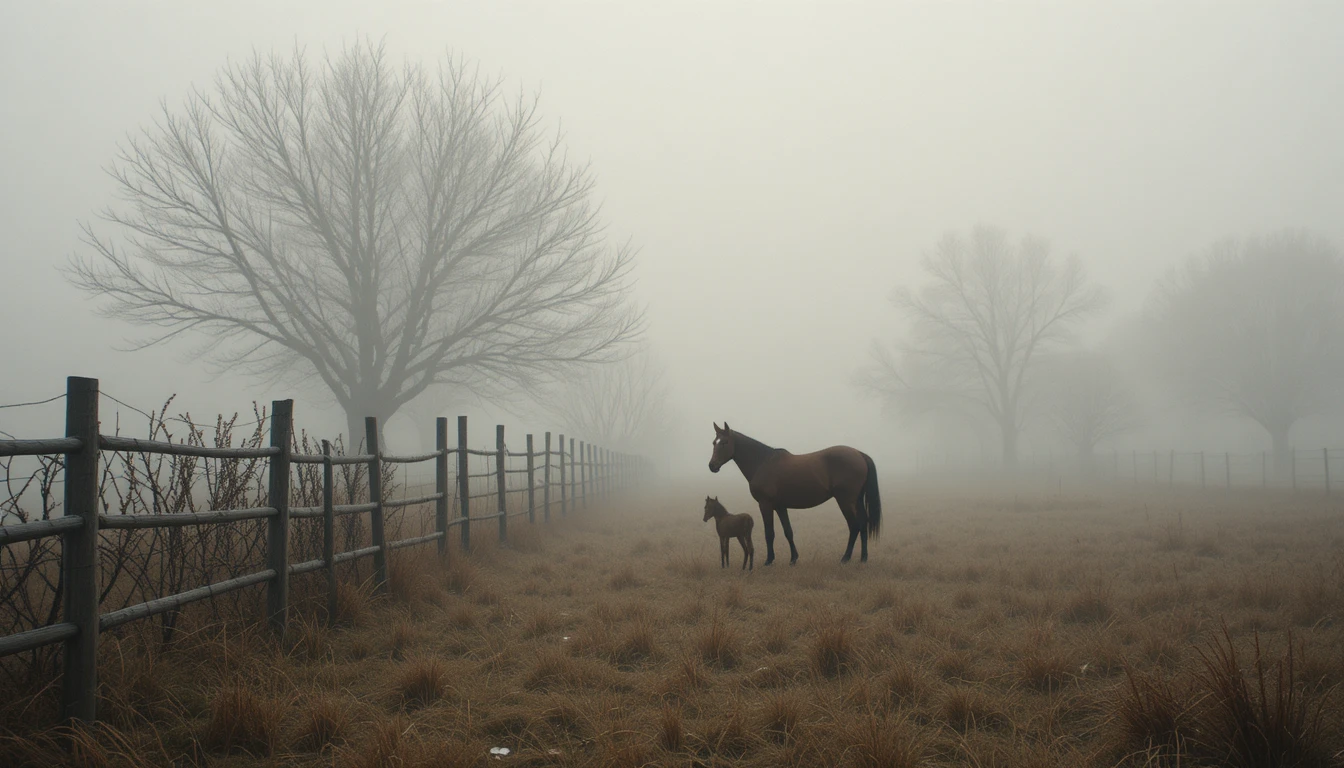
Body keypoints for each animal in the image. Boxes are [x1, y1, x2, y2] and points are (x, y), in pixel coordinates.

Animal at [708, 422, 881, 565]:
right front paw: (793, 558)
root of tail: (859, 454)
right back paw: (863, 558)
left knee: (854, 525)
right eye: (714, 442)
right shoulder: (780, 506)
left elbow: (769, 533)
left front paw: (769, 560)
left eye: (725, 442)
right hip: (856, 500)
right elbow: (788, 532)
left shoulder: (765, 505)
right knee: (863, 522)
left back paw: (846, 558)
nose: (712, 466)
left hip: (845, 501)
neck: (762, 462)